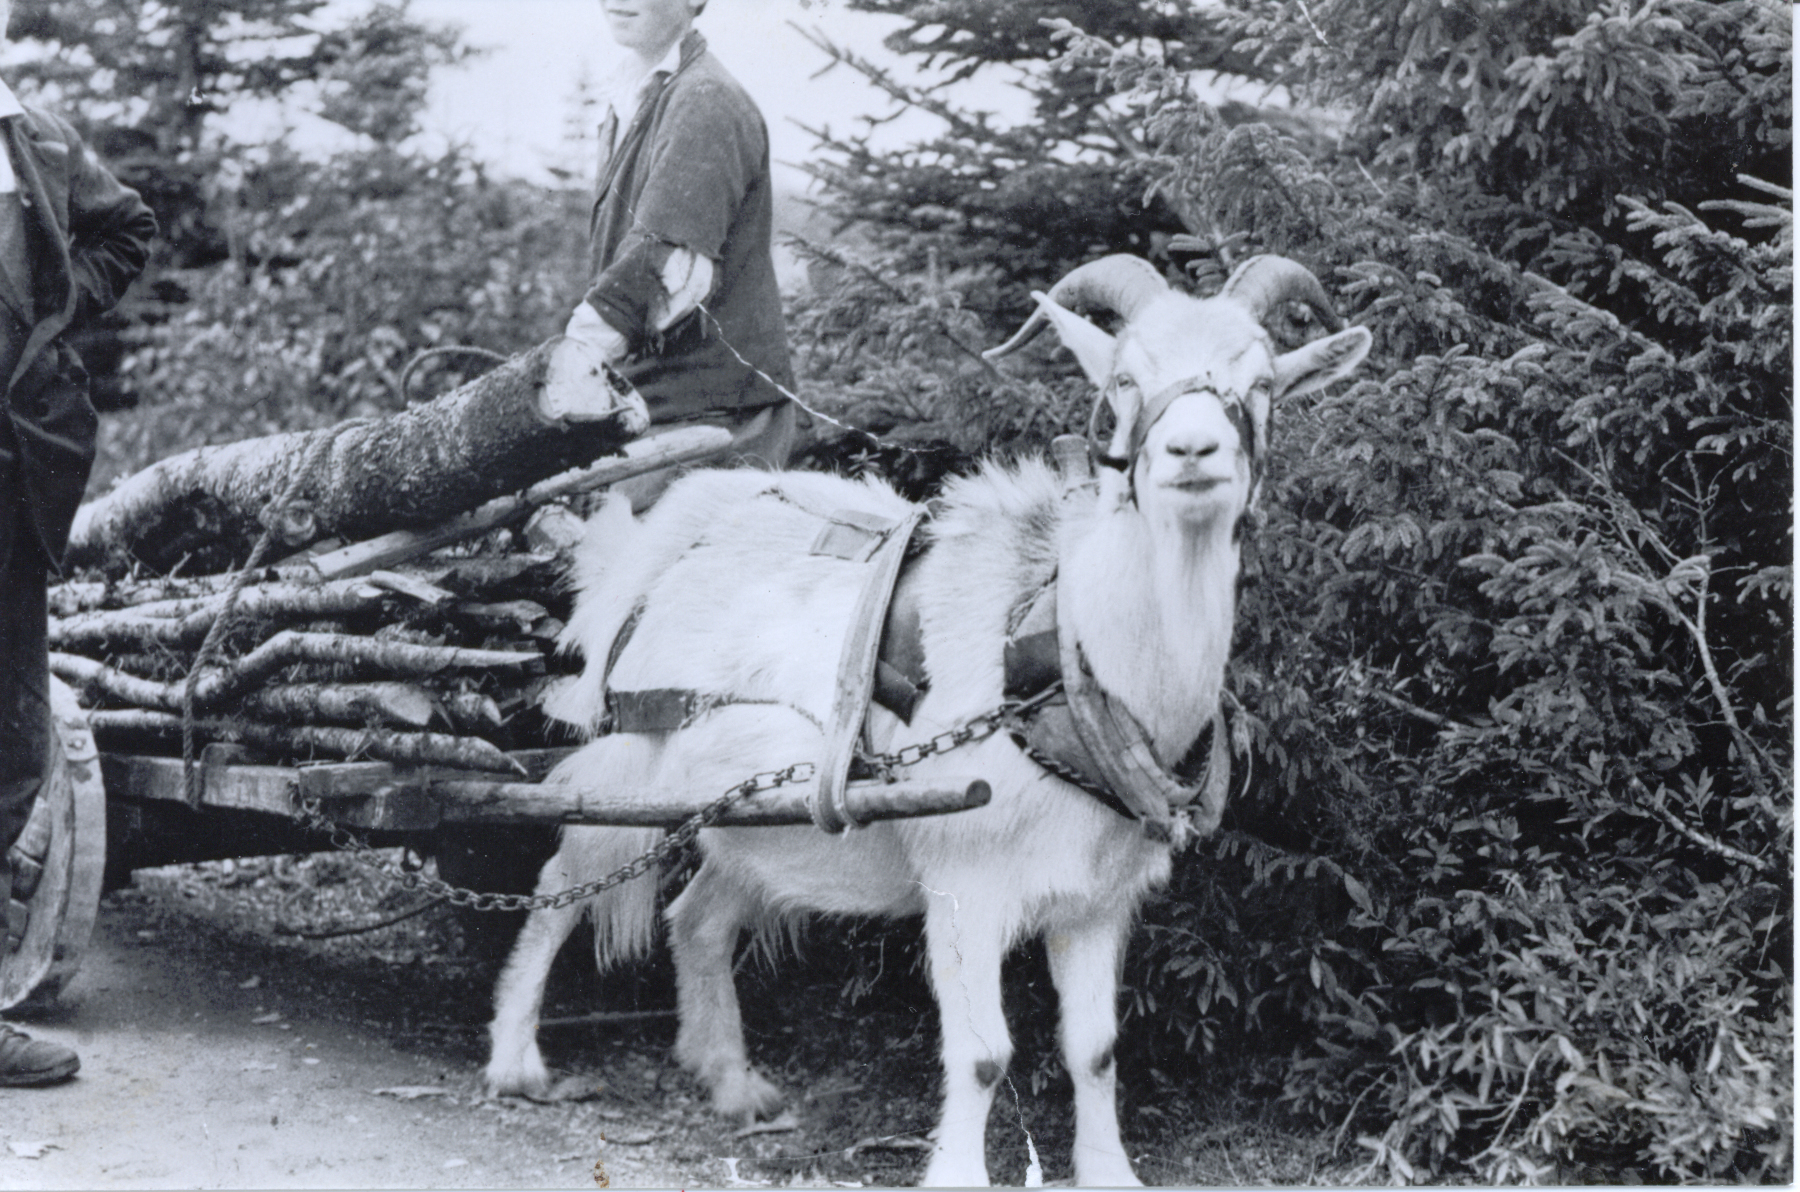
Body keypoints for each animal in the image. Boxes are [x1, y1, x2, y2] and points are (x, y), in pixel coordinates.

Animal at [486, 252, 1368, 1188]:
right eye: (1125, 378)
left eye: (1262, 383)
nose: (1191, 451)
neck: (1054, 641)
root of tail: (656, 543)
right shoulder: (966, 878)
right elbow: (983, 1053)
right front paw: (957, 1173)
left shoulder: (1099, 898)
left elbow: (1095, 1048)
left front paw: (1110, 1171)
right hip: (629, 769)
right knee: (559, 887)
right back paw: (516, 1062)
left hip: (756, 812)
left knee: (699, 916)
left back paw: (734, 1085)